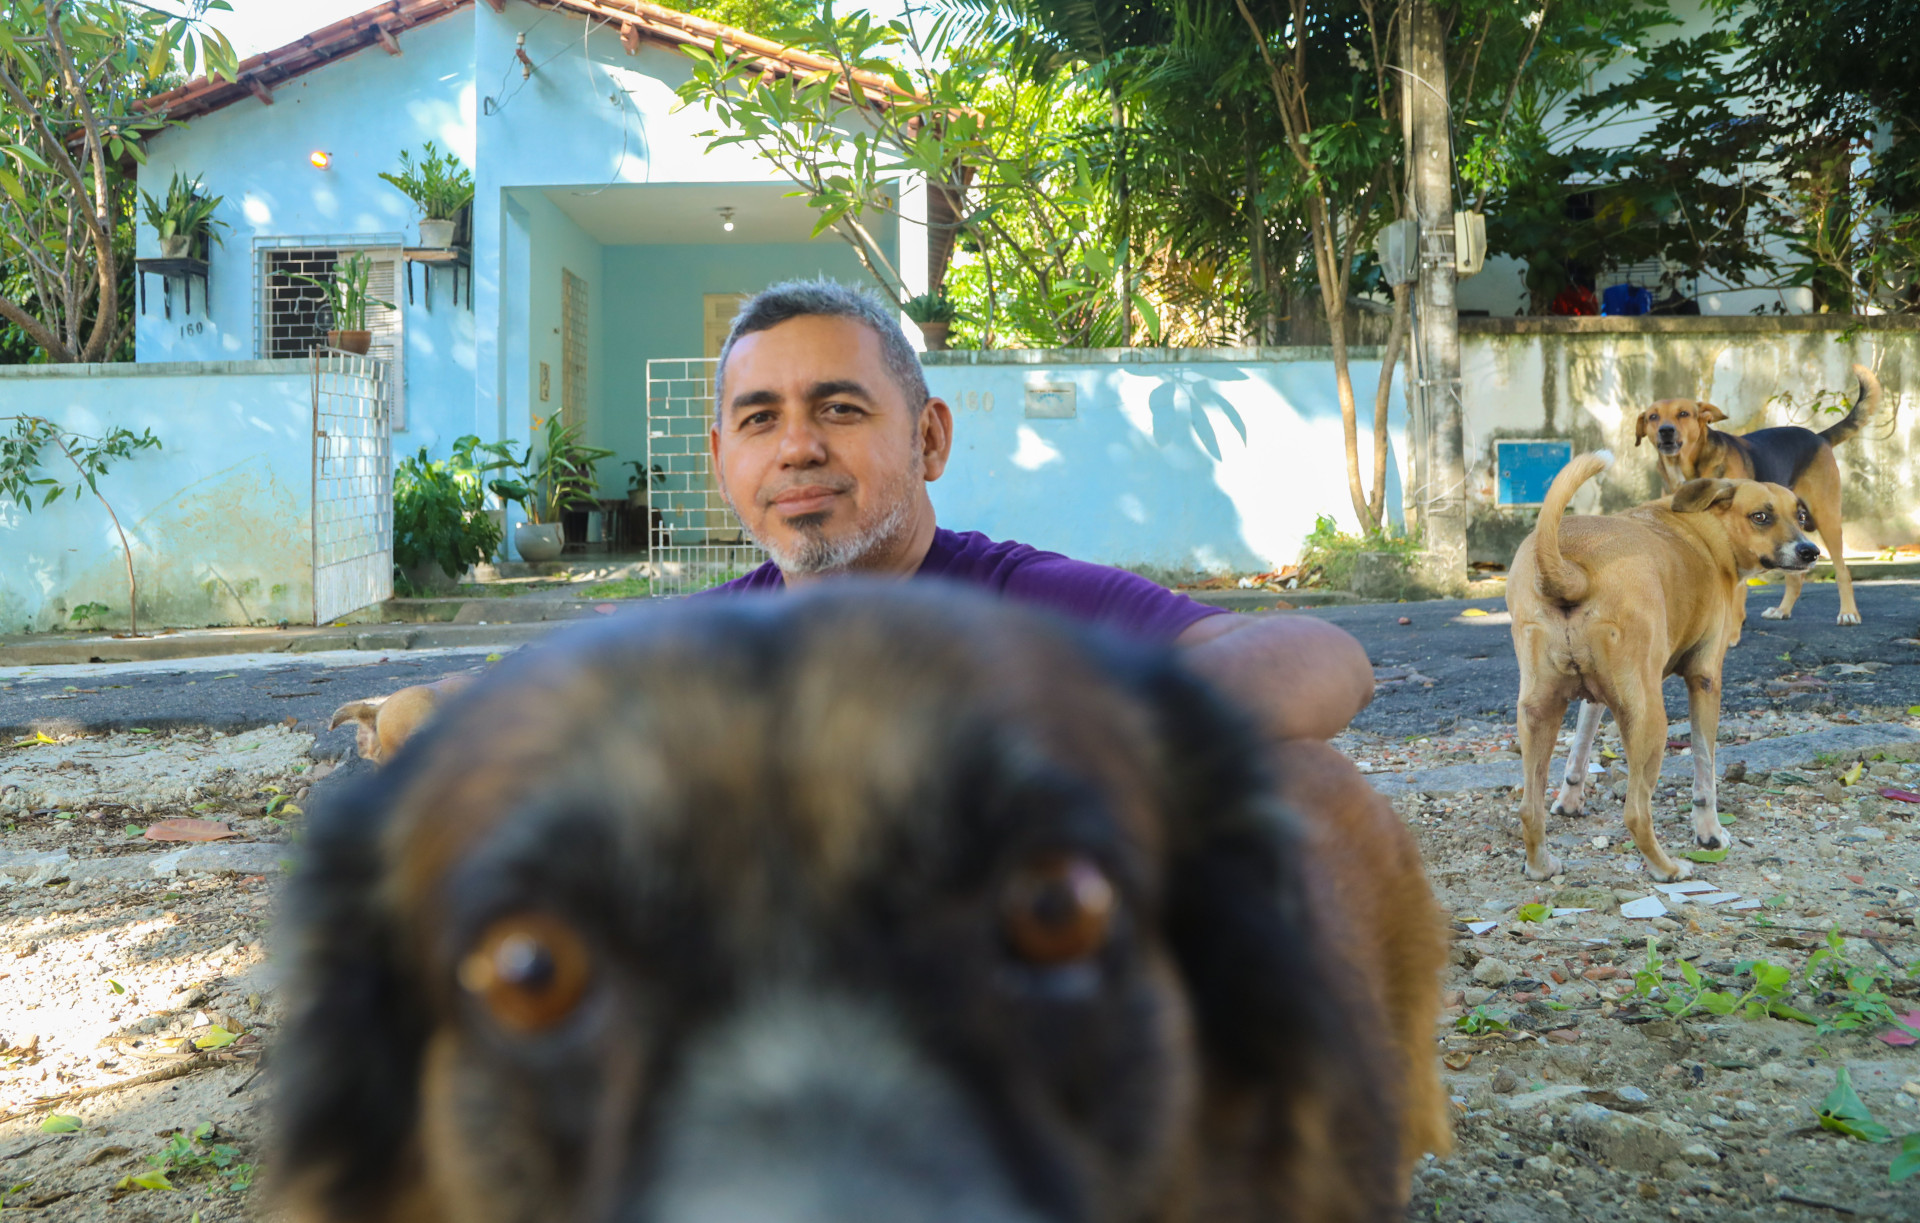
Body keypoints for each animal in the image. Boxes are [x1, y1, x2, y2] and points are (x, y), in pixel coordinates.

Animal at [1512, 453, 1812, 883]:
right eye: (1760, 517)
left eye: (1800, 515)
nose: (1810, 551)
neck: (1704, 530)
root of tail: (1571, 569)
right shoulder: (1705, 680)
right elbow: (1705, 769)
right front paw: (1710, 834)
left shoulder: (1595, 698)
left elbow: (1581, 746)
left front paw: (1570, 800)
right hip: (1650, 720)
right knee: (1636, 813)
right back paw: (1667, 868)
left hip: (1538, 713)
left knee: (1528, 808)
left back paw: (1540, 866)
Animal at [1635, 362, 1889, 625]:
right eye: (1653, 416)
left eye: (1683, 414)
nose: (1665, 431)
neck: (1686, 466)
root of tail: (1819, 437)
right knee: (1795, 576)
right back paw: (1782, 609)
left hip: (1826, 518)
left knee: (1842, 571)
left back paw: (1848, 612)